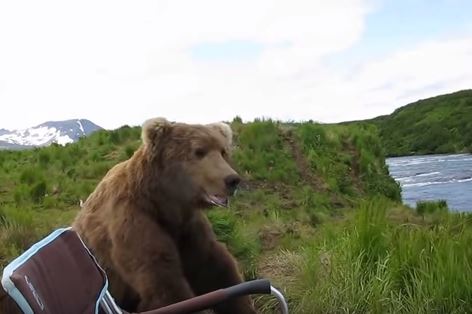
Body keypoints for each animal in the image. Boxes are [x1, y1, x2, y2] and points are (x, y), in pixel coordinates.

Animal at [70, 118, 256, 314]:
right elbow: (164, 284)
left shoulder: (187, 227)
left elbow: (215, 269)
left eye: (222, 151)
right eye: (199, 151)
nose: (232, 180)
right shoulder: (132, 223)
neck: (163, 203)